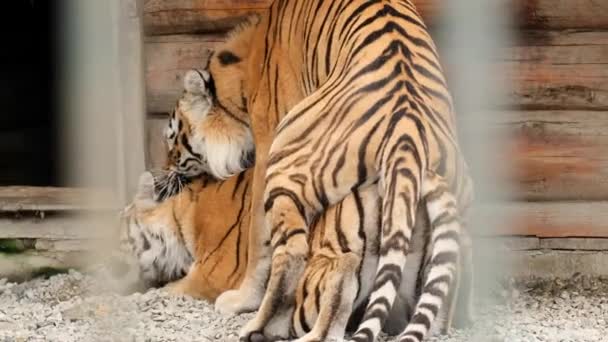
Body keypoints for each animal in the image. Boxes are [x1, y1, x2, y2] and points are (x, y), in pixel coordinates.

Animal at [194, 1, 476, 340]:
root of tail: (407, 134)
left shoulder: (266, 139)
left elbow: (257, 237)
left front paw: (241, 299)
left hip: (285, 159)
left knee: (292, 253)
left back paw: (257, 327)